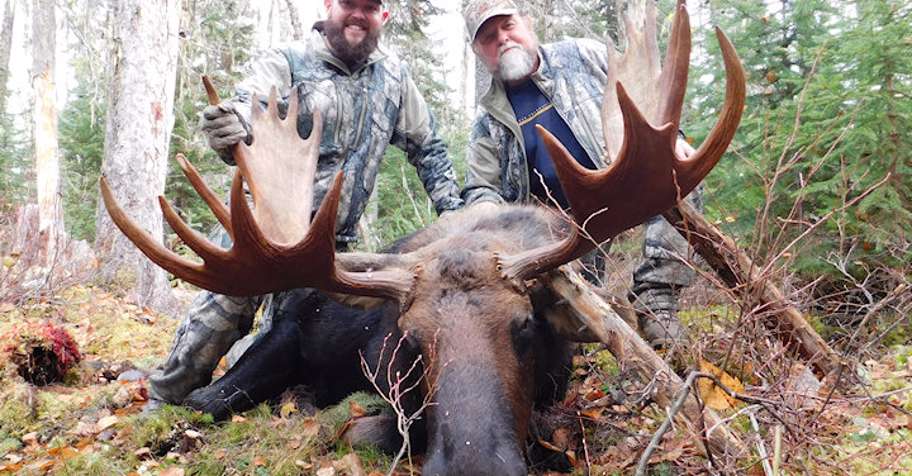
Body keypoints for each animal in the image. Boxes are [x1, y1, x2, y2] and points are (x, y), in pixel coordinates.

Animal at [100, 2, 745, 474]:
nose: (475, 465)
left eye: (526, 327)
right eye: (410, 339)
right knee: (205, 385)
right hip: (277, 335)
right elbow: (362, 428)